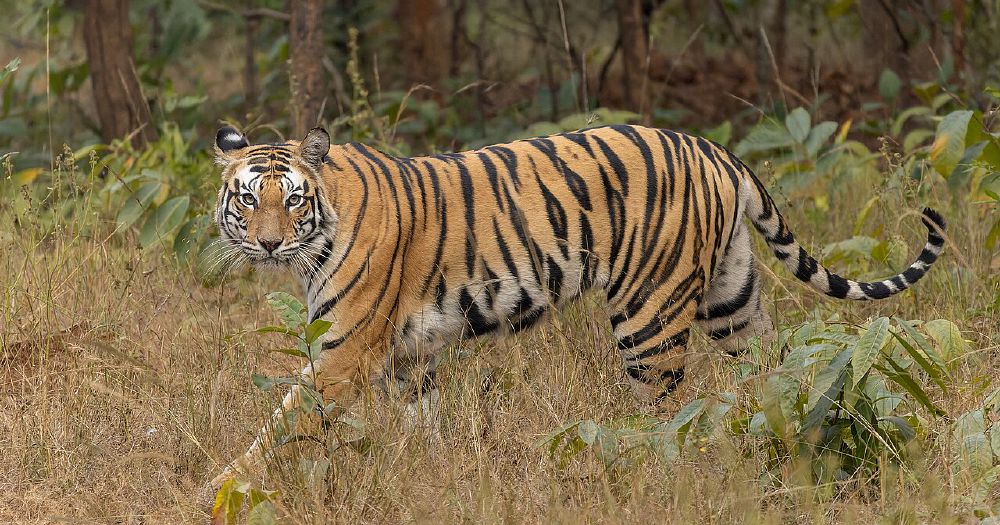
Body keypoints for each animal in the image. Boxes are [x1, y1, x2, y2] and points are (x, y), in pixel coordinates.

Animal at [209, 123, 945, 485]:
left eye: (292, 199)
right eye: (248, 198)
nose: (268, 243)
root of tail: (714, 148)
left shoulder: (344, 352)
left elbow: (277, 427)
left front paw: (223, 488)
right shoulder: (410, 358)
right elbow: (425, 428)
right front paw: (434, 476)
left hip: (650, 317)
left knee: (667, 415)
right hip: (732, 301)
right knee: (774, 373)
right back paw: (779, 443)